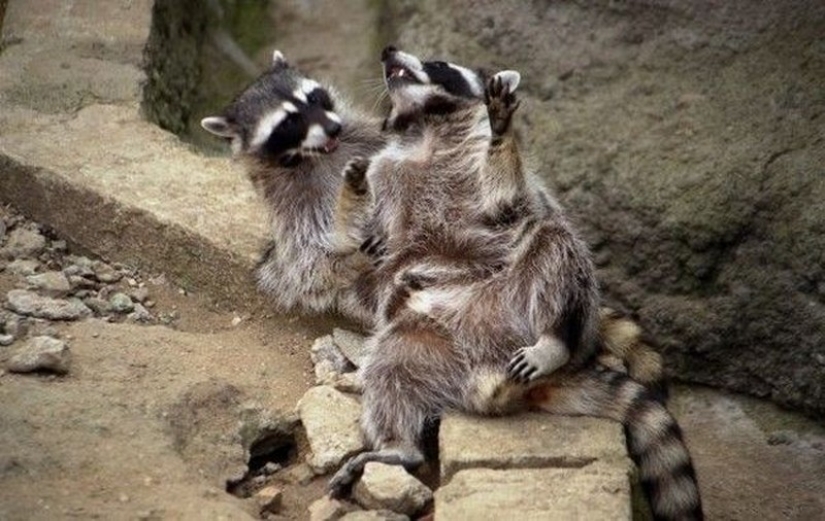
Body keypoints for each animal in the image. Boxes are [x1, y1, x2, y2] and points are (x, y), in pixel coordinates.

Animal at [328, 47, 701, 521]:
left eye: (437, 64)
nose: (388, 50)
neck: (428, 131)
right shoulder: (388, 172)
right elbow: (350, 244)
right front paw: (352, 192)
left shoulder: (490, 180)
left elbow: (511, 203)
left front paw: (503, 136)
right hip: (422, 337)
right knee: (389, 368)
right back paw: (400, 447)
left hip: (527, 306)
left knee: (554, 240)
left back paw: (555, 339)